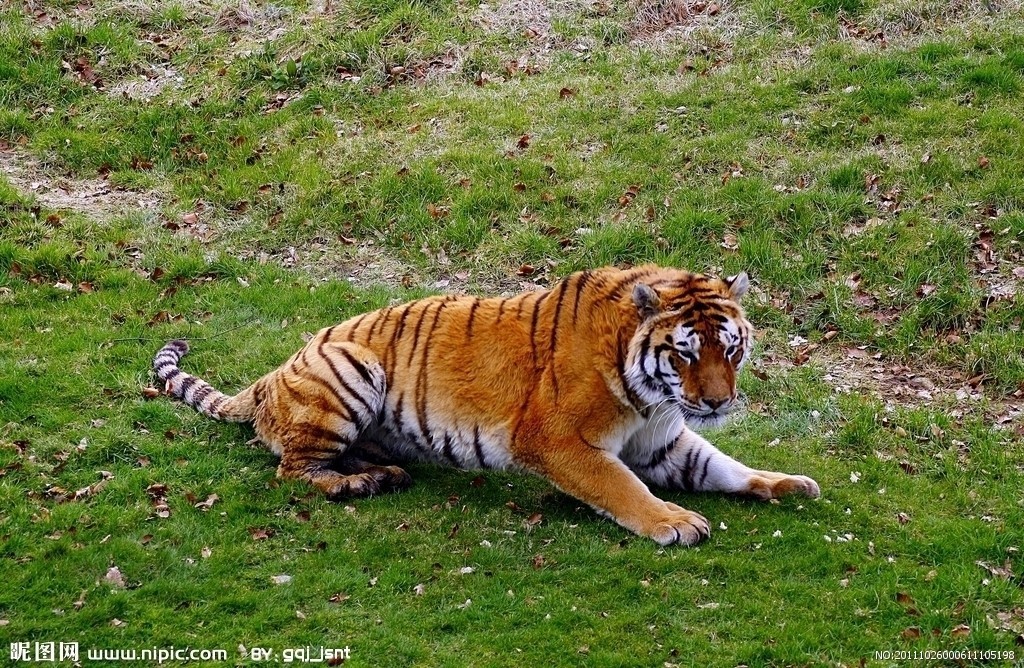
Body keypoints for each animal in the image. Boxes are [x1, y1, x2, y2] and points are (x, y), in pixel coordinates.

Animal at [151, 264, 819, 545]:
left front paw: (784, 483)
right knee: (292, 469)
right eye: (684, 354)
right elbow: (621, 487)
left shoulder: (663, 441)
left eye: (729, 348)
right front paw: (673, 522)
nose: (717, 400)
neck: (650, 395)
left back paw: (382, 472)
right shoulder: (558, 440)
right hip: (351, 366)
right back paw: (357, 484)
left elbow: (721, 465)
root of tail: (271, 372)